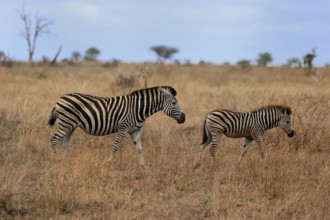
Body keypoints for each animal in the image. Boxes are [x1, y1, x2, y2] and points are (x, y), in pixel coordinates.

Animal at [47, 86, 186, 168]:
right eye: (174, 103)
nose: (184, 118)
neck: (138, 109)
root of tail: (59, 100)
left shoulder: (135, 130)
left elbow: (139, 149)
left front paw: (144, 168)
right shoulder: (123, 127)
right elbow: (115, 146)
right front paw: (107, 163)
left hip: (70, 126)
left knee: (64, 144)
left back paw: (64, 162)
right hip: (66, 124)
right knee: (53, 139)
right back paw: (54, 160)